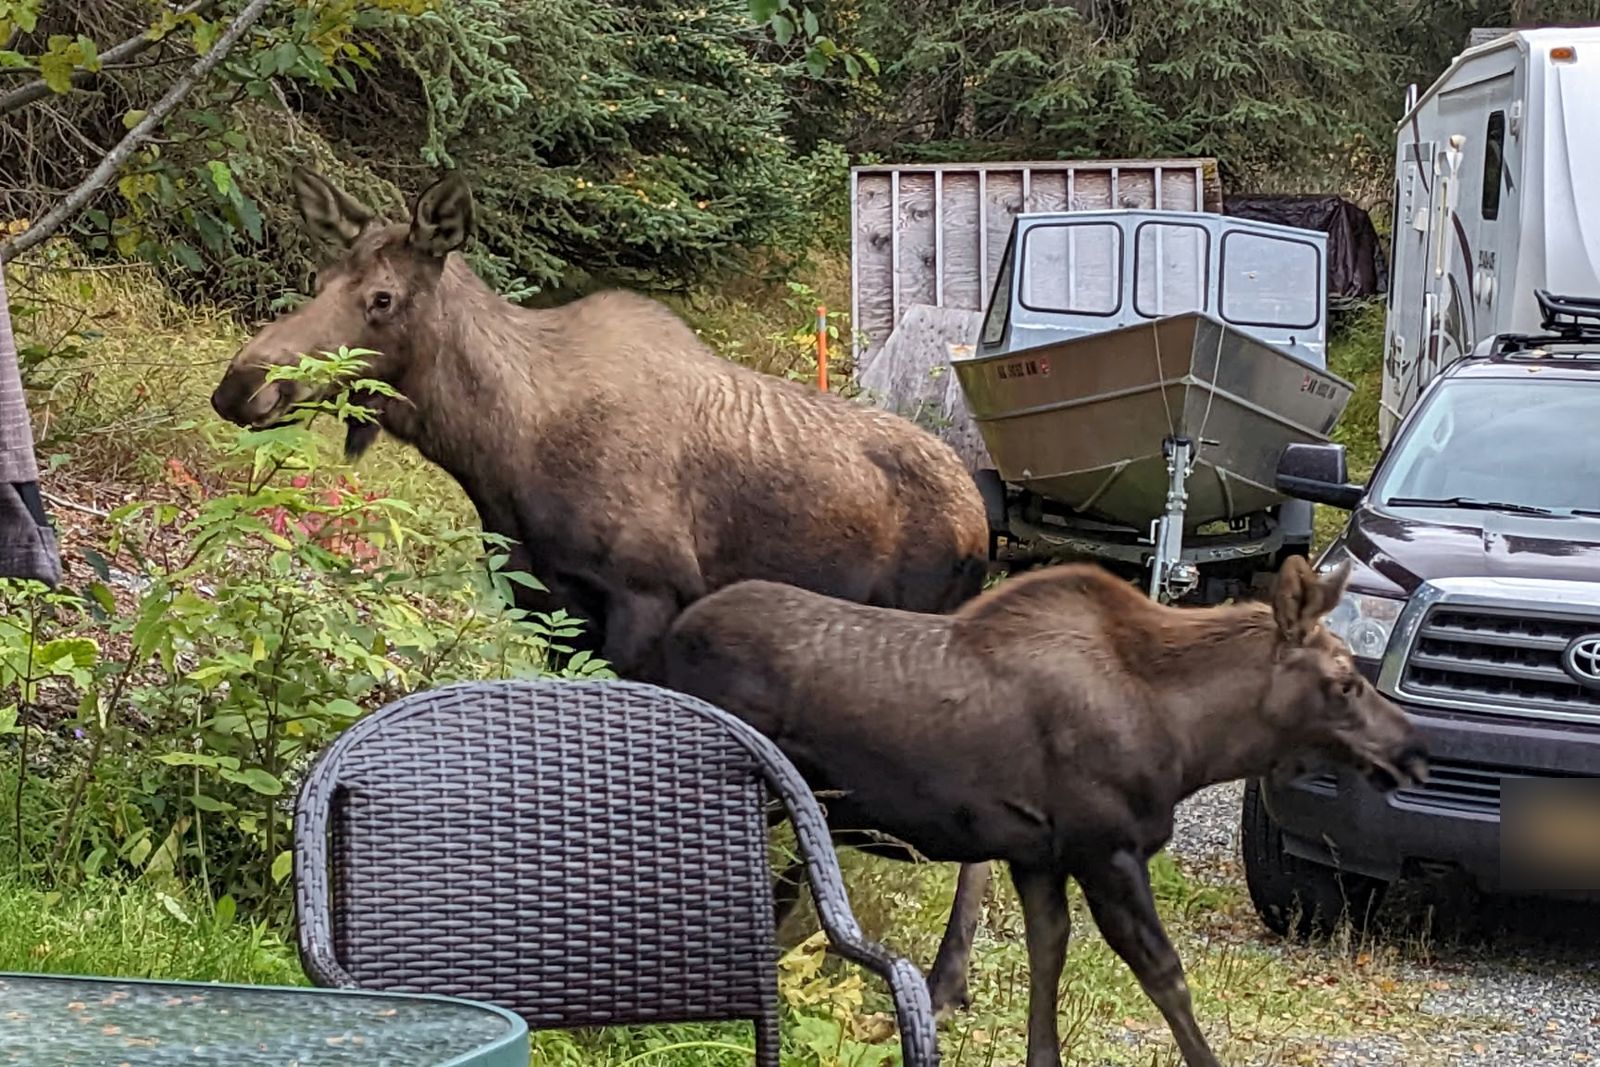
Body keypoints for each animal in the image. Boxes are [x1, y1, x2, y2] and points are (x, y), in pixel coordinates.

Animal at [661, 554, 1429, 1067]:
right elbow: (1167, 976)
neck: (1190, 738)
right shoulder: (1106, 848)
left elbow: (1047, 956)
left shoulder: (1039, 856)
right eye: (1344, 683)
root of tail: (663, 648)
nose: (1412, 747)